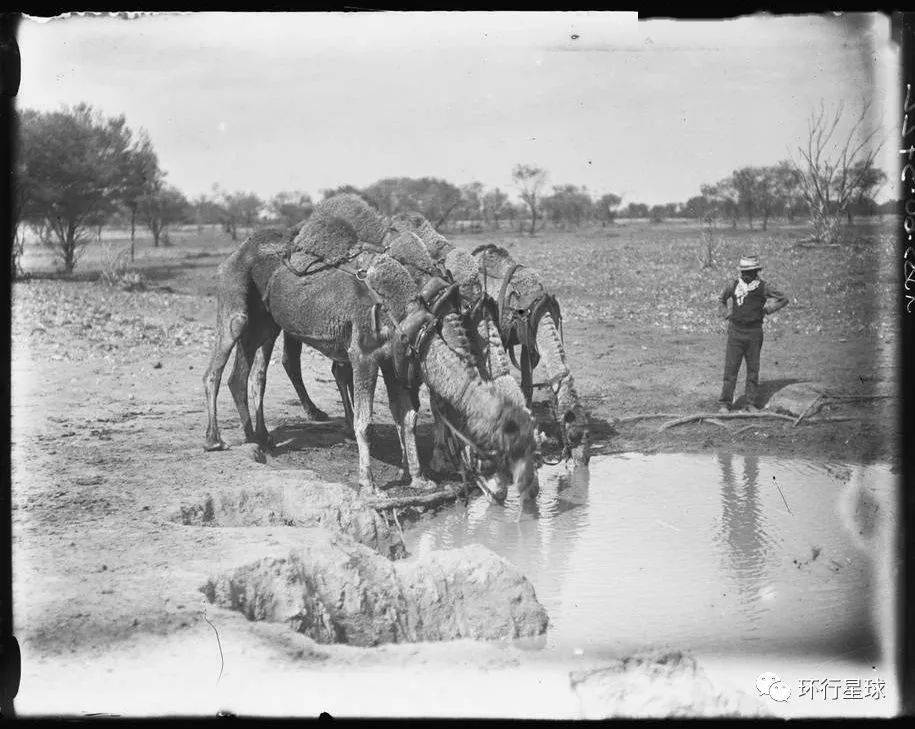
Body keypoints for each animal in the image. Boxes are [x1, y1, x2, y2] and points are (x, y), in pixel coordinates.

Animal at [202, 209, 536, 500]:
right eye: (503, 440)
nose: (509, 488)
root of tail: (239, 249)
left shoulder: (396, 358)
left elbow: (408, 416)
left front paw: (419, 478)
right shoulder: (364, 355)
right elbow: (366, 422)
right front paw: (370, 485)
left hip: (267, 322)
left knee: (245, 374)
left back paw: (258, 438)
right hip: (236, 300)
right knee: (217, 367)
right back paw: (215, 440)